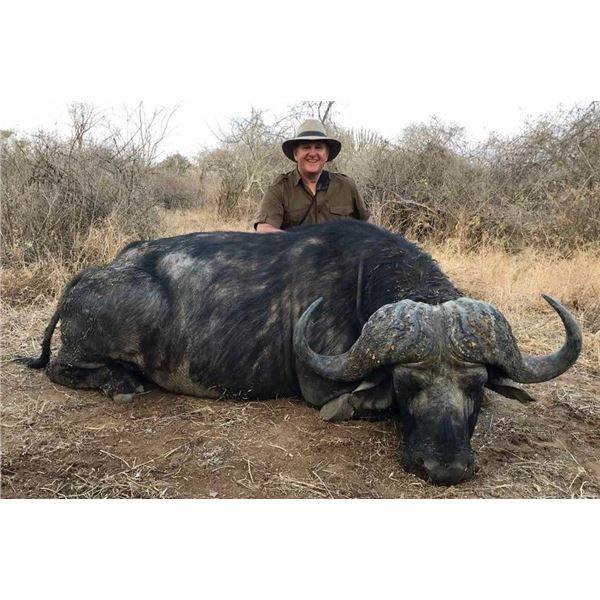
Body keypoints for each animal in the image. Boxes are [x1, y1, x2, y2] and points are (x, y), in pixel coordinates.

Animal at [19, 220, 582, 485]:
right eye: (407, 384)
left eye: (477, 386)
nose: (442, 467)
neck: (360, 283)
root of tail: (86, 279)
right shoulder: (321, 386)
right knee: (66, 368)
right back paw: (121, 384)